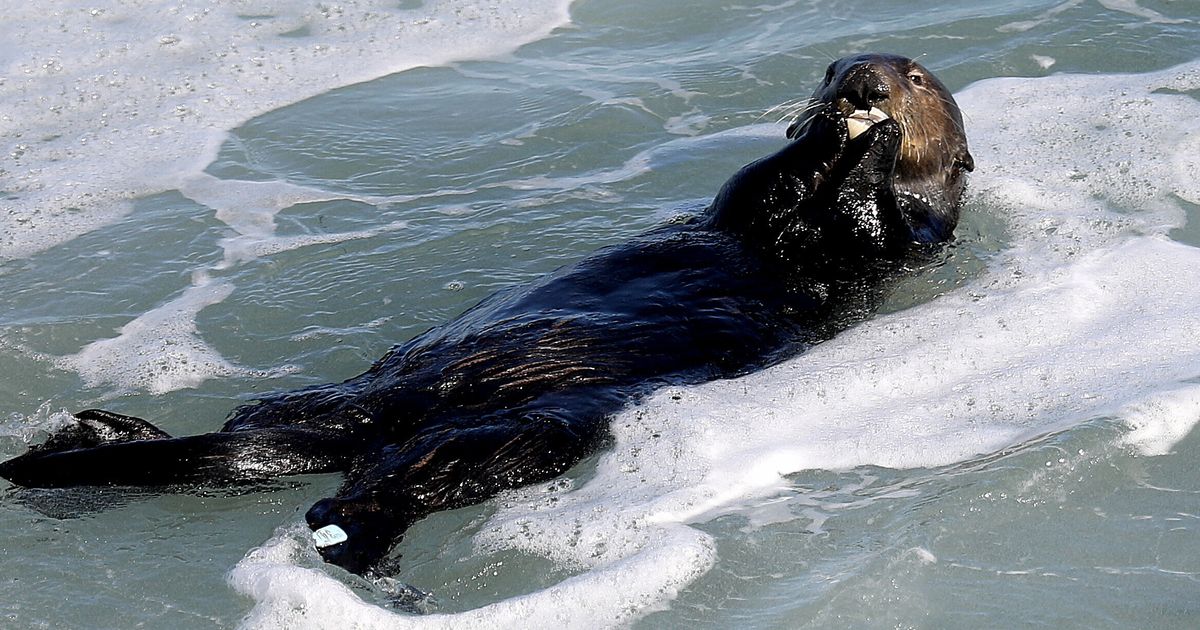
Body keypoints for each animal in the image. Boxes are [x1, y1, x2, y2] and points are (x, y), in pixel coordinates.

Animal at [0, 54, 969, 573]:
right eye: (833, 65)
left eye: (918, 77)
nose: (860, 81)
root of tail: (388, 418)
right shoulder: (748, 203)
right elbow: (764, 189)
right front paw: (828, 136)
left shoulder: (910, 246)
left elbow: (886, 232)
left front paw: (875, 149)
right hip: (345, 401)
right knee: (280, 441)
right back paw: (97, 432)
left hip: (525, 427)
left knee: (389, 477)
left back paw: (352, 539)